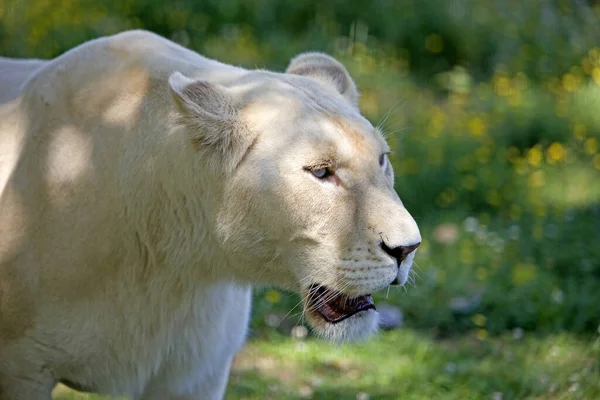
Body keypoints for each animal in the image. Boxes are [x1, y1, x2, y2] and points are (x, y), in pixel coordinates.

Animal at [0, 31, 420, 400]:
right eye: (321, 172)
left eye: (382, 160)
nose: (408, 248)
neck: (174, 264)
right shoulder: (22, 370)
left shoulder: (196, 374)